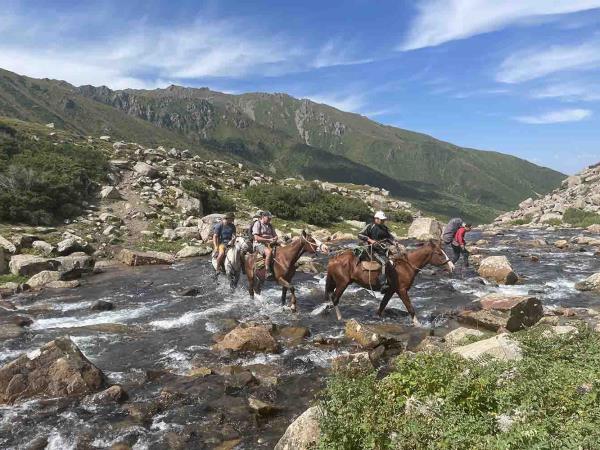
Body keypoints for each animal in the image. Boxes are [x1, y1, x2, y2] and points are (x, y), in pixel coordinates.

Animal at [324, 241, 454, 326]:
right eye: (439, 253)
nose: (452, 266)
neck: (406, 266)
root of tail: (333, 259)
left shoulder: (391, 290)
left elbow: (383, 305)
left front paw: (376, 317)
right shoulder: (401, 290)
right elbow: (410, 308)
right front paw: (418, 324)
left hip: (336, 282)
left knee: (330, 295)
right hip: (342, 284)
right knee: (335, 298)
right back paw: (340, 318)